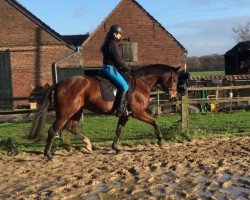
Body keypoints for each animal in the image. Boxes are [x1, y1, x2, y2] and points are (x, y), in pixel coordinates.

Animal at [30, 64, 188, 159]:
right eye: (174, 79)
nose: (174, 96)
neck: (142, 84)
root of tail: (59, 84)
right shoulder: (138, 113)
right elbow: (155, 122)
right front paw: (161, 142)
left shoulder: (125, 115)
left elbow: (119, 130)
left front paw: (115, 148)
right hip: (65, 114)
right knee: (53, 130)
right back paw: (48, 154)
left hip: (76, 111)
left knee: (72, 127)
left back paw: (88, 145)